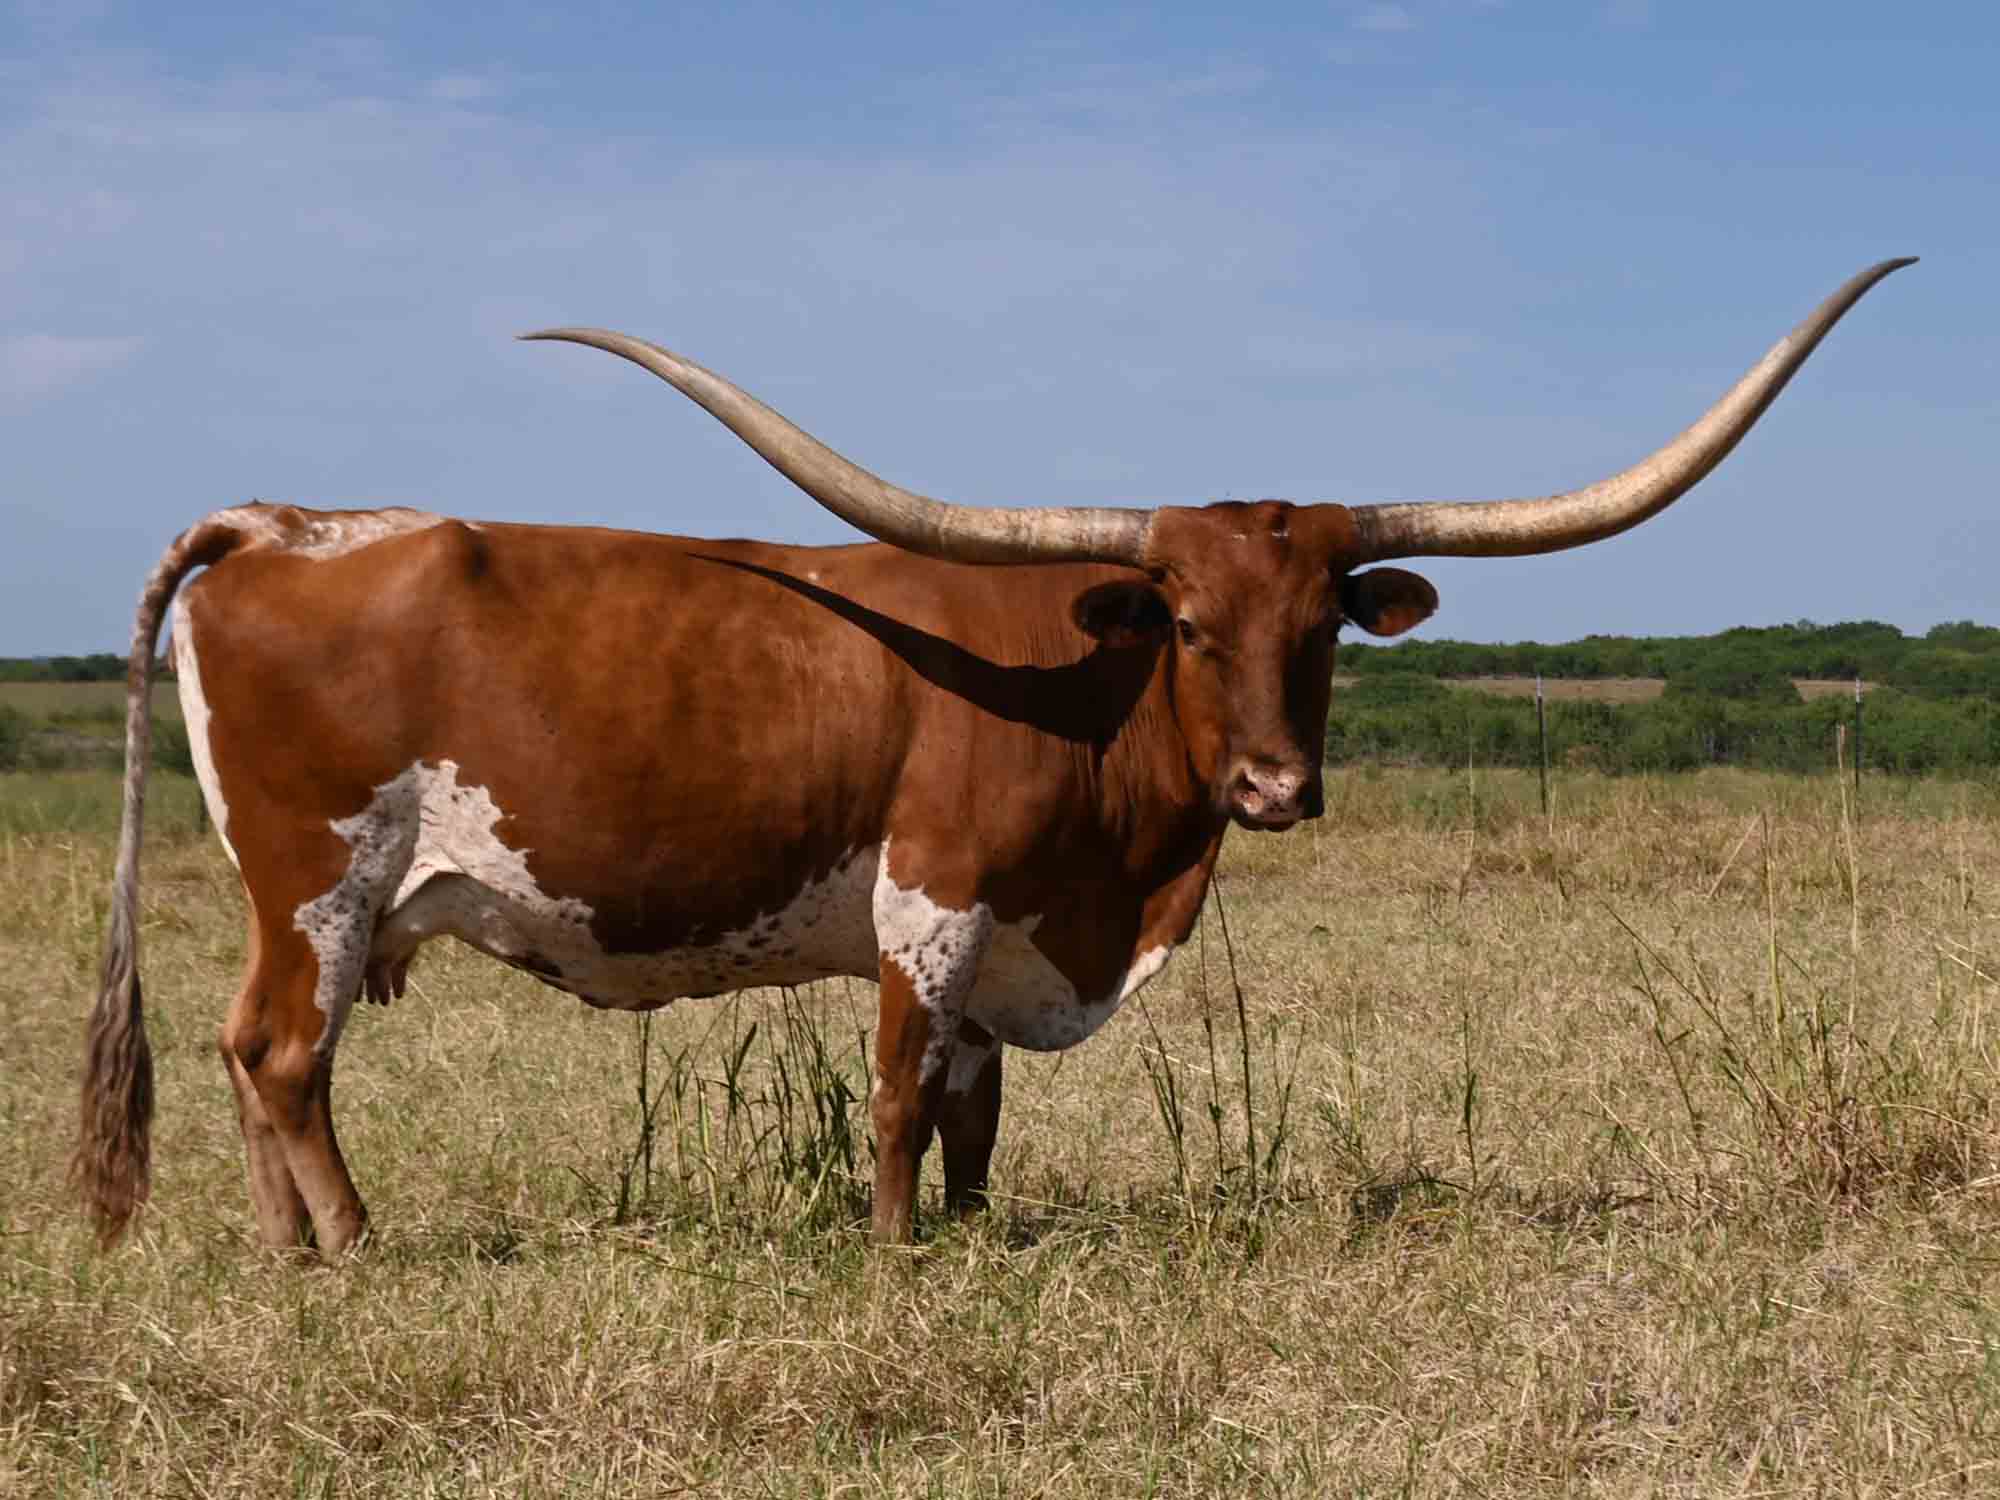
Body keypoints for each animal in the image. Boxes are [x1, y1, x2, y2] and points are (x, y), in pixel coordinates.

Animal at [77, 259, 1912, 1253]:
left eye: (1323, 624)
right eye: (1184, 620)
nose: (1276, 788)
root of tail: (282, 524)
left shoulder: (1017, 931)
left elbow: (978, 1109)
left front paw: (969, 1238)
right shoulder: (934, 907)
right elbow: (903, 1095)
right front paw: (892, 1254)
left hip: (305, 896)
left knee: (258, 1059)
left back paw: (291, 1252)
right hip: (321, 876)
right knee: (282, 1057)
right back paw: (354, 1248)